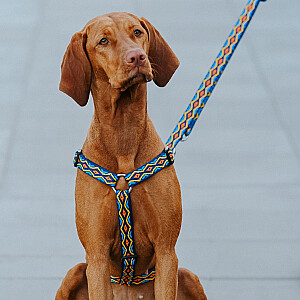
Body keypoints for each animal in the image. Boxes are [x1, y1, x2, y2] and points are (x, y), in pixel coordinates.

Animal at [59, 12, 183, 300]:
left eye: (137, 32)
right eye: (103, 41)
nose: (137, 57)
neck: (123, 129)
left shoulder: (166, 251)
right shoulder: (97, 257)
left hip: (188, 275)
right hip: (74, 272)